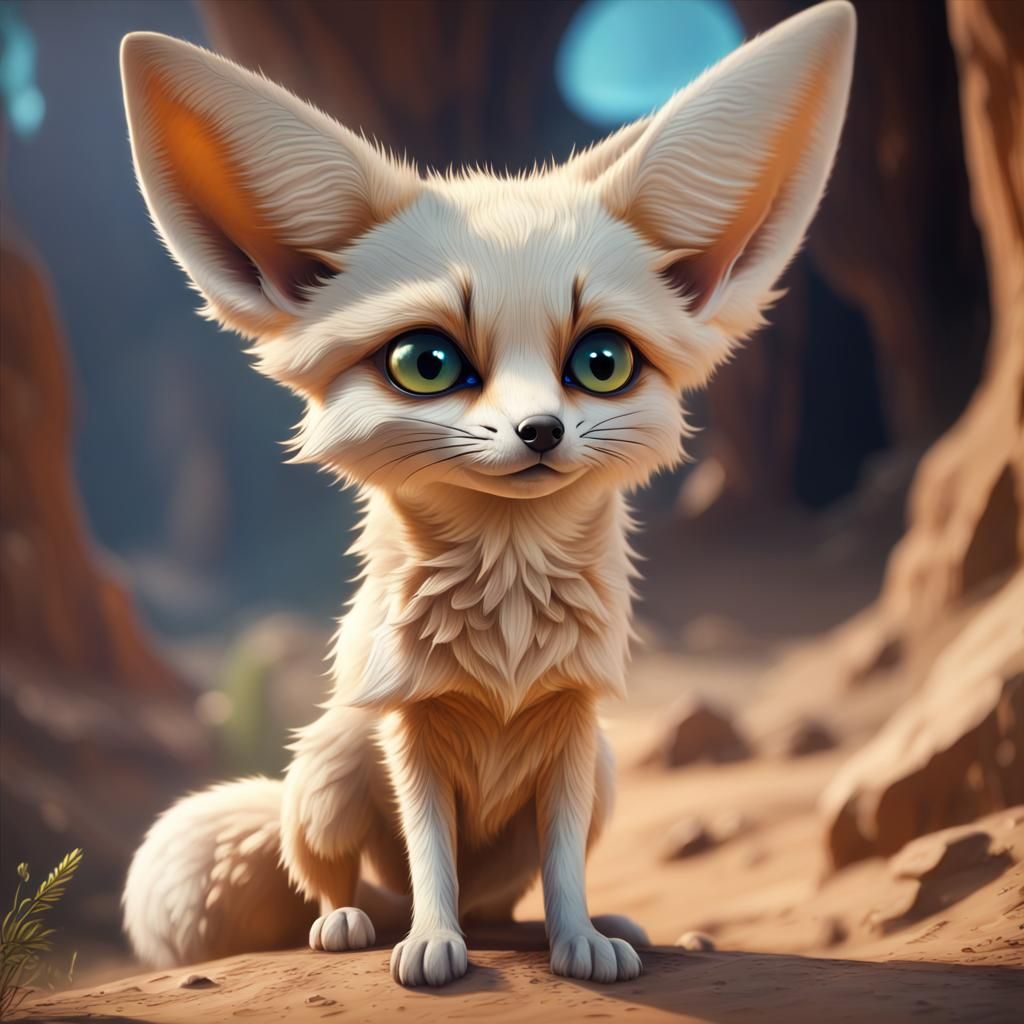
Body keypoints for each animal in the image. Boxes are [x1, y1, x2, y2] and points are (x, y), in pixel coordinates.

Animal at [119, 1, 855, 988]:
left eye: (603, 362)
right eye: (426, 363)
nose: (540, 431)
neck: (506, 625)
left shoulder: (575, 726)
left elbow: (563, 863)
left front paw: (580, 940)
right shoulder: (411, 730)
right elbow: (431, 853)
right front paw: (433, 946)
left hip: (606, 773)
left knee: (507, 903)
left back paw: (572, 927)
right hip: (327, 768)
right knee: (345, 877)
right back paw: (356, 921)